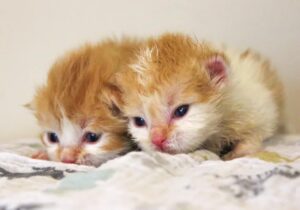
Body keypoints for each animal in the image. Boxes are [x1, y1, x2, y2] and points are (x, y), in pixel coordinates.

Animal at [115, 32, 284, 159]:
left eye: (181, 111)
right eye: (139, 121)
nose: (157, 140)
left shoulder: (256, 106)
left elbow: (256, 132)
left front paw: (240, 151)